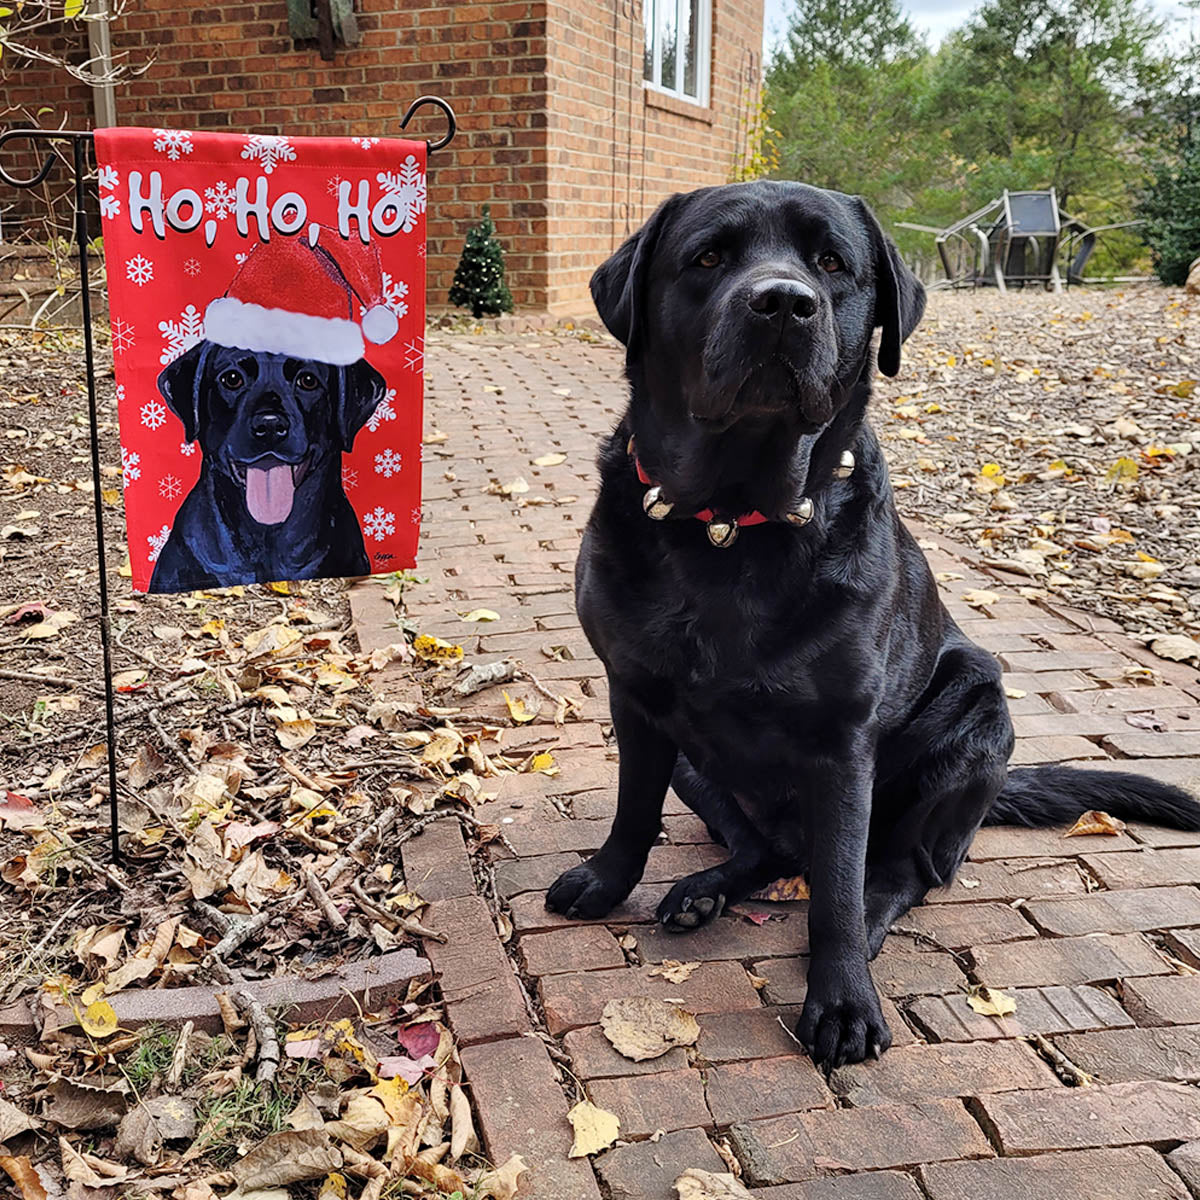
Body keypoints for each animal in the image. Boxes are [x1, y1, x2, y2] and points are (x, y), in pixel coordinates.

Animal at [547, 184, 1200, 1070]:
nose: (783, 303)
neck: (729, 524)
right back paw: (703, 892)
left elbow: (836, 892)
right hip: (699, 765)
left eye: (831, 264)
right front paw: (606, 881)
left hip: (974, 715)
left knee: (894, 876)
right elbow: (631, 812)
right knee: (761, 850)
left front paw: (842, 1000)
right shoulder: (636, 699)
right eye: (708, 257)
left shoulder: (841, 742)